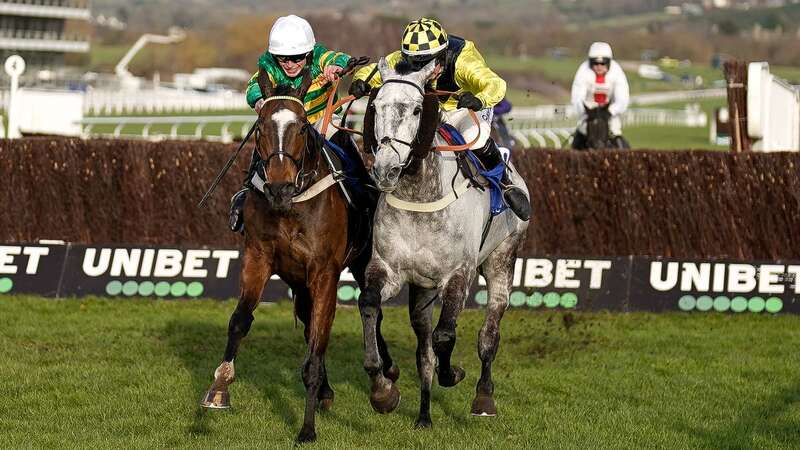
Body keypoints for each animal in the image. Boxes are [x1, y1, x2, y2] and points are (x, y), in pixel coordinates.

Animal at [199, 70, 388, 442]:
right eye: (260, 127)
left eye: (301, 127)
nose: (279, 188)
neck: (292, 205)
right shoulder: (259, 259)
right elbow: (240, 320)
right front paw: (219, 388)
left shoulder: (325, 273)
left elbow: (317, 344)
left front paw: (307, 428)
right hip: (299, 282)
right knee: (309, 320)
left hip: (360, 264)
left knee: (369, 312)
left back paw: (385, 380)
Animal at [358, 58, 532, 428]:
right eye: (376, 107)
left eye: (416, 109)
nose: (385, 169)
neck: (419, 195)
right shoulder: (388, 268)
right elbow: (370, 305)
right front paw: (382, 390)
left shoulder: (458, 275)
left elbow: (445, 336)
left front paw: (453, 374)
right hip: (423, 288)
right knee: (423, 346)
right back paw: (424, 415)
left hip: (502, 259)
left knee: (489, 334)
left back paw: (484, 397)